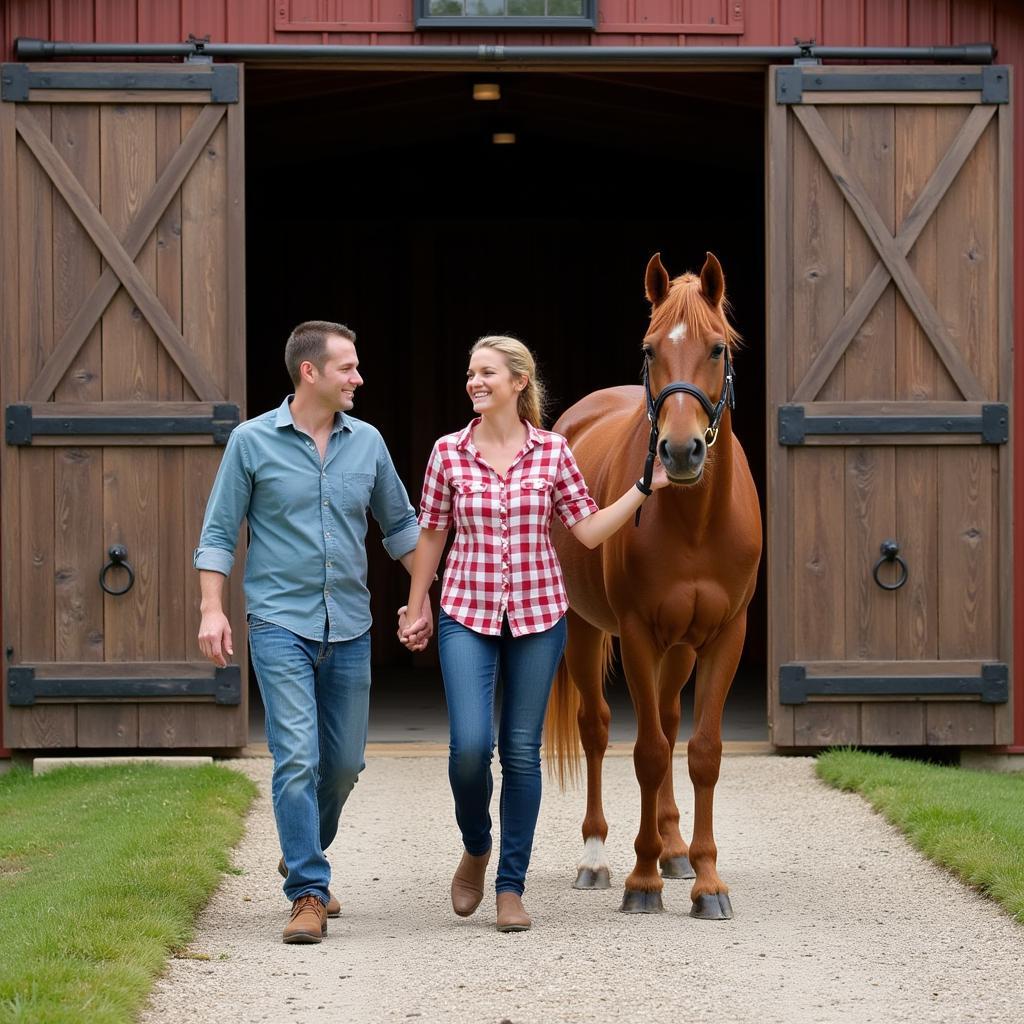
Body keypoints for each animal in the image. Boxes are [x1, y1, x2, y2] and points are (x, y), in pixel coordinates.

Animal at [552, 249, 761, 921]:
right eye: (649, 350)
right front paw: (640, 881)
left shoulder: (724, 636)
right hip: (585, 631)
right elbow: (643, 752)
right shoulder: (639, 633)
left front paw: (707, 880)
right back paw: (597, 857)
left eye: (717, 348)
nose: (680, 451)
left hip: (682, 646)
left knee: (669, 724)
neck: (695, 522)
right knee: (597, 730)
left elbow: (701, 752)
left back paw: (674, 851)